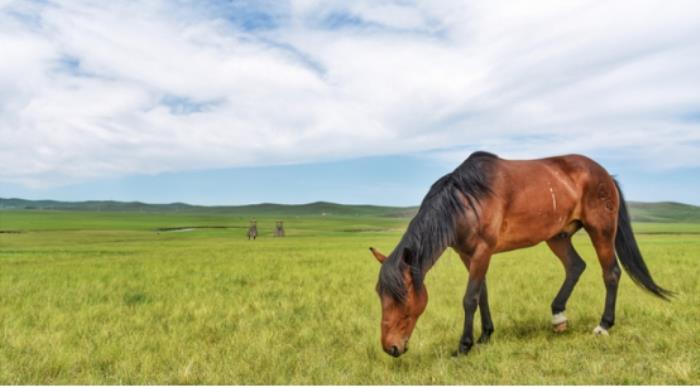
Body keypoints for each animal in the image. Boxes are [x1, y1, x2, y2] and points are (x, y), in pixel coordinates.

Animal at [372, 151, 672, 358]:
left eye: (402, 297)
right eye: (380, 295)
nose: (390, 348)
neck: (466, 201)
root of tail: (606, 174)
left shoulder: (482, 251)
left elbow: (469, 298)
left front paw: (464, 346)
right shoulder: (469, 255)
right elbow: (482, 294)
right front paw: (485, 336)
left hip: (601, 230)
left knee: (610, 273)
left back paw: (604, 325)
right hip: (558, 236)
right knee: (576, 266)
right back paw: (558, 317)